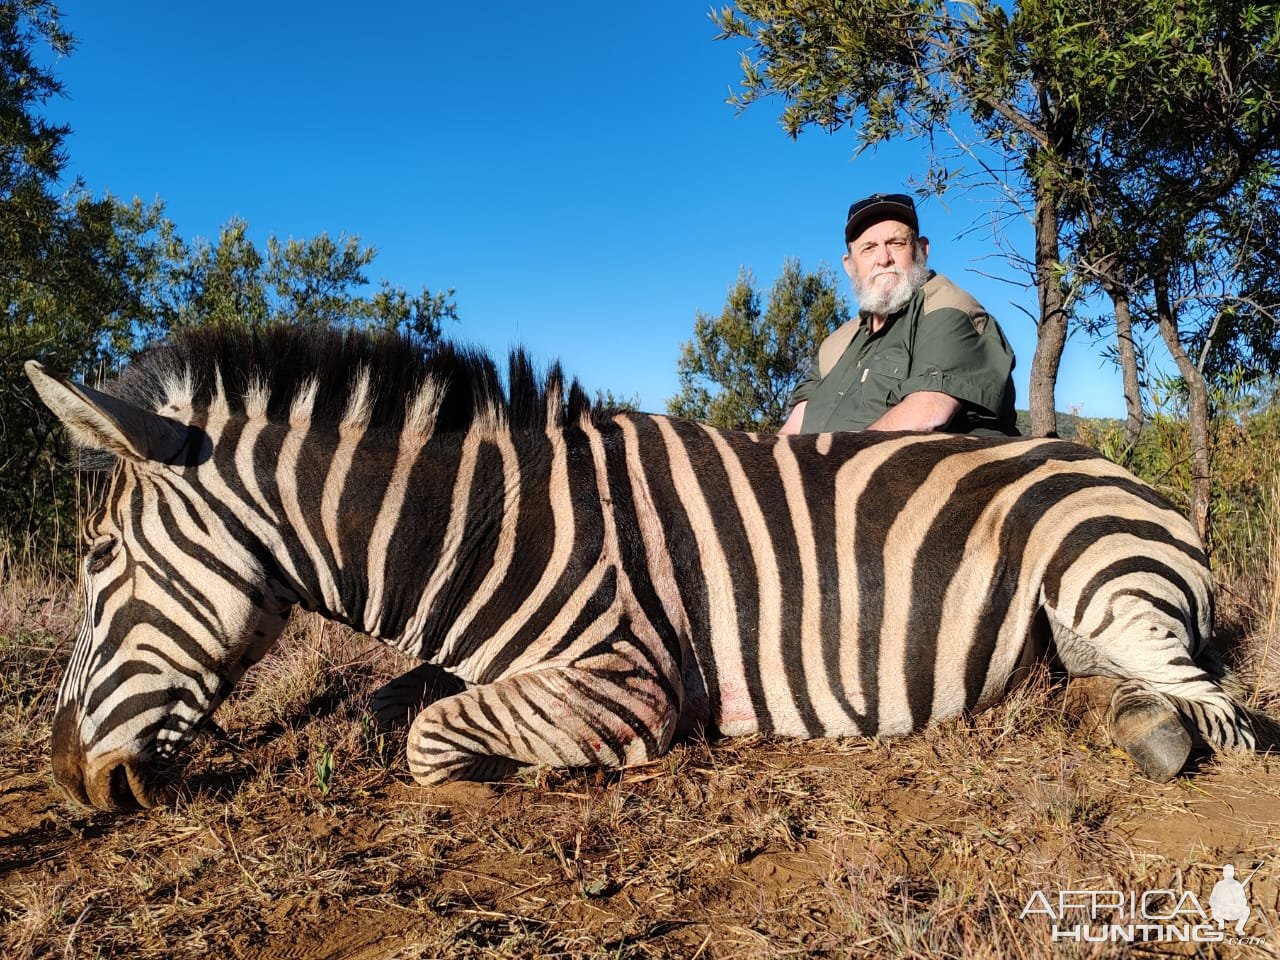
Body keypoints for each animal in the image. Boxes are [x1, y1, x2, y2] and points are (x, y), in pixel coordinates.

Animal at [22, 325, 1259, 814]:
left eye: (97, 564)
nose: (70, 779)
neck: (482, 527)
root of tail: (1113, 465)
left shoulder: (630, 680)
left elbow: (428, 740)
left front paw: (512, 773)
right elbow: (386, 706)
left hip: (1099, 577)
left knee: (1222, 714)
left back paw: (1146, 728)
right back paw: (1090, 714)